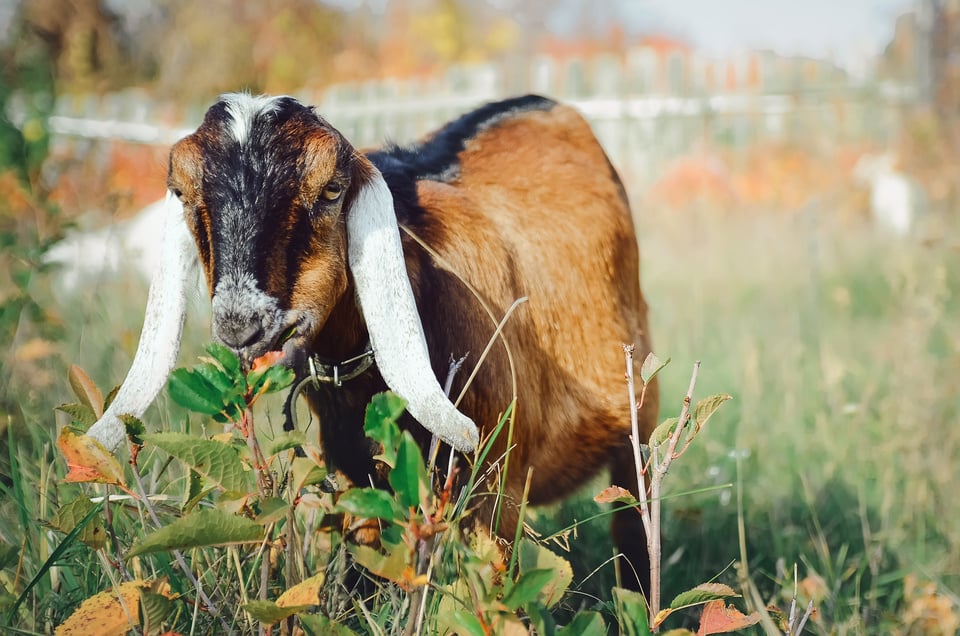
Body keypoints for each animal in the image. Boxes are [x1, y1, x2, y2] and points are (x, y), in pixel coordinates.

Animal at [84, 93, 660, 592]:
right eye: (183, 192)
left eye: (331, 189)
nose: (241, 323)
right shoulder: (352, 477)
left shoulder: (497, 480)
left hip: (640, 424)